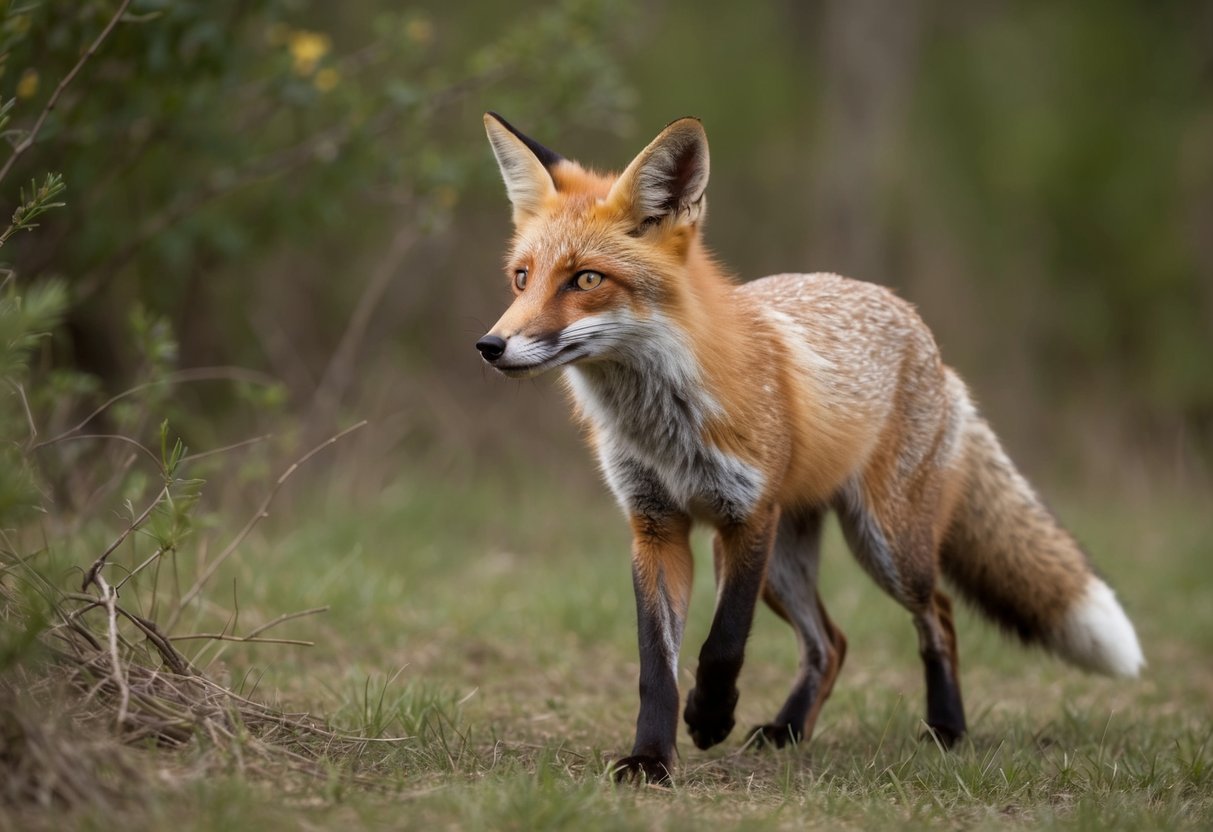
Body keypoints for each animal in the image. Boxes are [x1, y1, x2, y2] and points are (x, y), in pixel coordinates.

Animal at [475, 112, 1145, 784]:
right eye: (521, 277)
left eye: (586, 279)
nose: (490, 346)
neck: (663, 422)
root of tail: (926, 337)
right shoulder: (656, 527)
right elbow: (655, 667)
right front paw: (651, 758)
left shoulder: (747, 516)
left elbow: (723, 643)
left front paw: (710, 717)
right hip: (783, 561)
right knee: (831, 641)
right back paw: (789, 729)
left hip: (882, 546)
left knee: (940, 614)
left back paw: (946, 727)